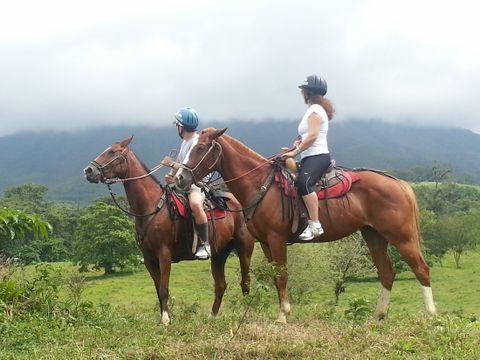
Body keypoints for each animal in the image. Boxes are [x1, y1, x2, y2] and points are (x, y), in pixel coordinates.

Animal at [83, 136, 255, 324]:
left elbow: (164, 288)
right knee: (220, 285)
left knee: (245, 282)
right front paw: (162, 318)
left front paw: (166, 320)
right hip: (219, 254)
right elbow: (158, 289)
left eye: (113, 152)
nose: (89, 170)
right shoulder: (149, 258)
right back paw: (213, 316)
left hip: (244, 248)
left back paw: (246, 315)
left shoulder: (164, 253)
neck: (151, 206)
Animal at [174, 129, 436, 324]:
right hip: (374, 235)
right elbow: (275, 276)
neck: (260, 184)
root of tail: (400, 184)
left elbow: (282, 276)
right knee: (387, 272)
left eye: (200, 148)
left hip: (401, 236)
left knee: (421, 269)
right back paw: (378, 316)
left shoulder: (277, 238)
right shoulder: (266, 242)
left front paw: (283, 315)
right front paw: (282, 311)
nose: (180, 179)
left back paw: (432, 316)